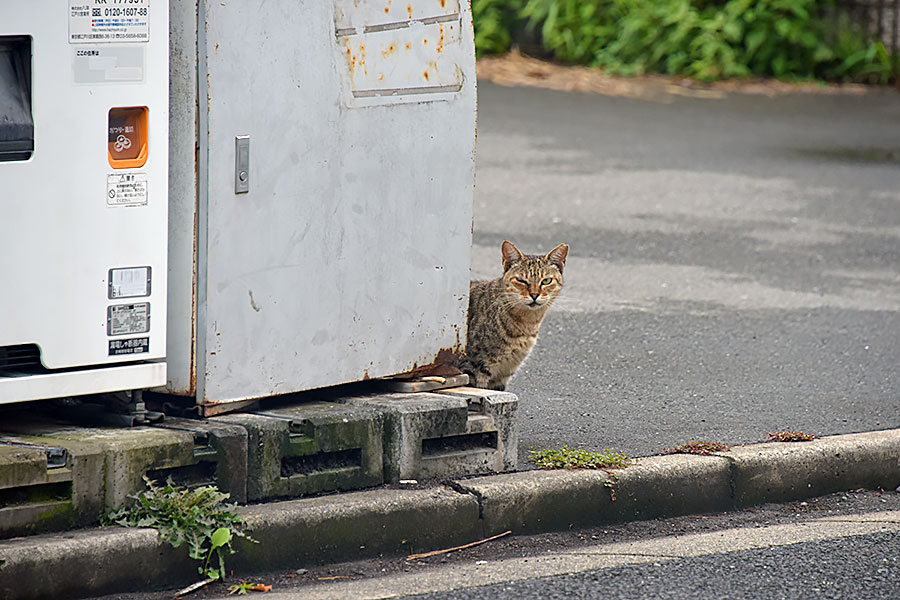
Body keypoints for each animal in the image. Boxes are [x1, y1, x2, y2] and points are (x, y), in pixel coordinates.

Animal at [460, 241, 568, 392]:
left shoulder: (502, 376)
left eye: (546, 281)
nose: (534, 295)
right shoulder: (472, 368)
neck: (527, 324)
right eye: (521, 281)